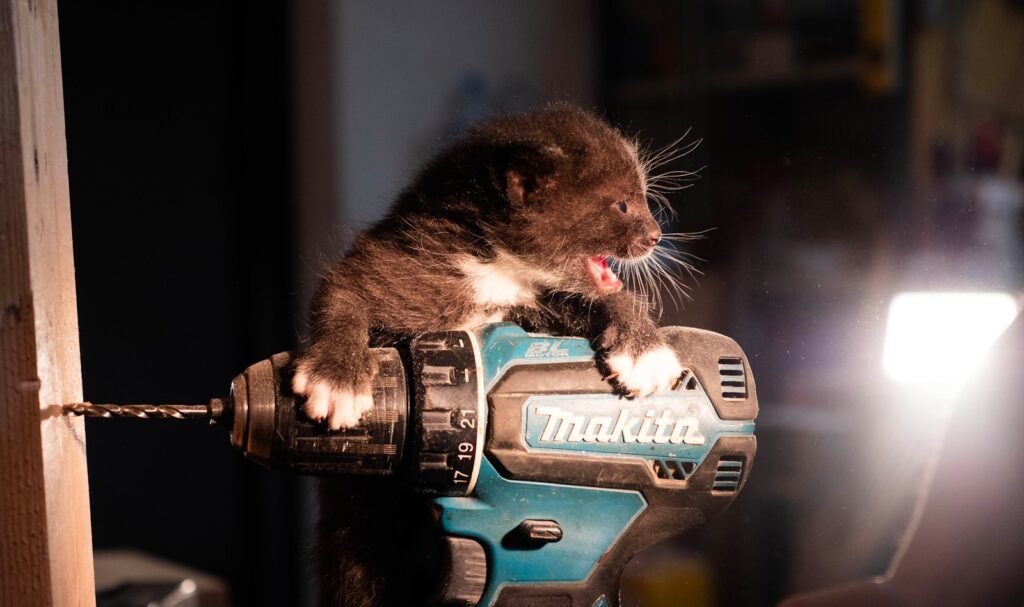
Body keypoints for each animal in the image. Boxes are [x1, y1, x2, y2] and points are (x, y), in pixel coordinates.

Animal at [292, 104, 700, 427]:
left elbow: (611, 297)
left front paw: (645, 347)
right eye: (623, 205)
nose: (656, 235)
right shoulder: (392, 258)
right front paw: (336, 377)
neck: (500, 270)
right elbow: (342, 293)